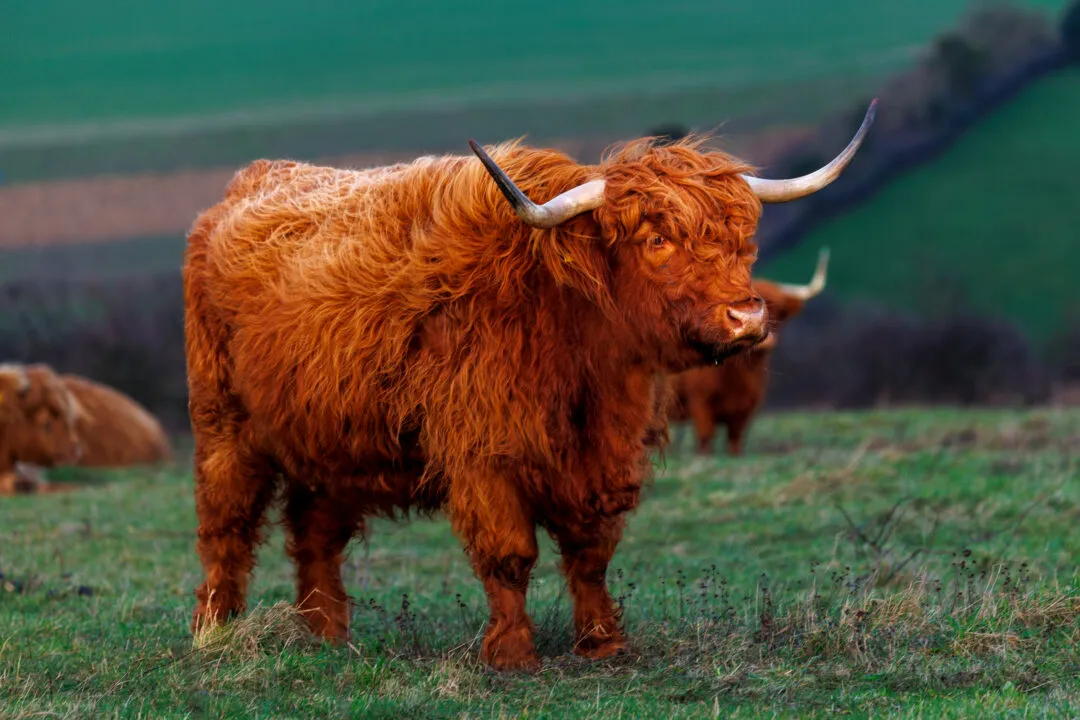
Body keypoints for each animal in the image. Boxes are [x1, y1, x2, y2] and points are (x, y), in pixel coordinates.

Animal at [668, 248, 830, 456]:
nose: (767, 342)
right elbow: (705, 442)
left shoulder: (745, 410)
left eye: (781, 312)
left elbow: (735, 444)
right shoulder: (700, 403)